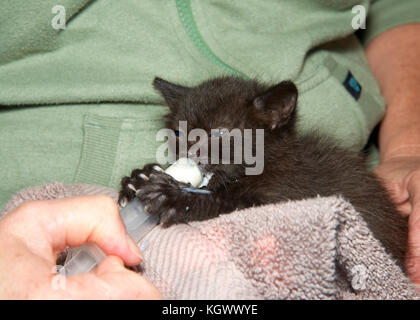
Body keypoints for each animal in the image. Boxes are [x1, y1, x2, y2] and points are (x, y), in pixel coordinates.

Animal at [120, 77, 408, 268]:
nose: (191, 154)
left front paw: (175, 199)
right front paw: (138, 178)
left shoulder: (289, 196)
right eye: (179, 133)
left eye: (220, 133)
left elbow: (229, 205)